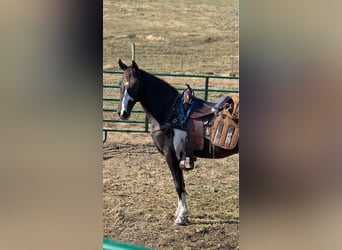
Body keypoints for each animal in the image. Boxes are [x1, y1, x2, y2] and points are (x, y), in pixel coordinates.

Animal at [115, 59, 238, 226]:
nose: (122, 113)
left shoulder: (171, 155)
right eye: (120, 83)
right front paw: (181, 213)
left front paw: (181, 216)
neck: (170, 113)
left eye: (135, 83)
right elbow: (182, 184)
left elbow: (178, 184)